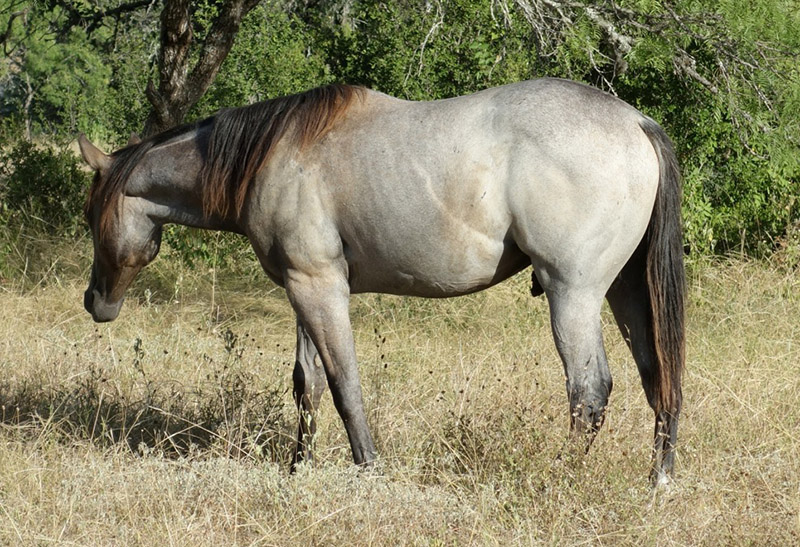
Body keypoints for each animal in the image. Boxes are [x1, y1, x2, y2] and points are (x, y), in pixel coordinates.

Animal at [78, 79, 684, 486]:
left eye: (90, 216)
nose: (94, 302)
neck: (273, 156)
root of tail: (635, 122)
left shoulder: (320, 289)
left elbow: (344, 384)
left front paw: (367, 468)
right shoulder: (304, 289)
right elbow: (307, 385)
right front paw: (298, 469)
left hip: (572, 295)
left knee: (590, 390)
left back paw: (558, 475)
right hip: (627, 291)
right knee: (659, 377)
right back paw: (658, 479)